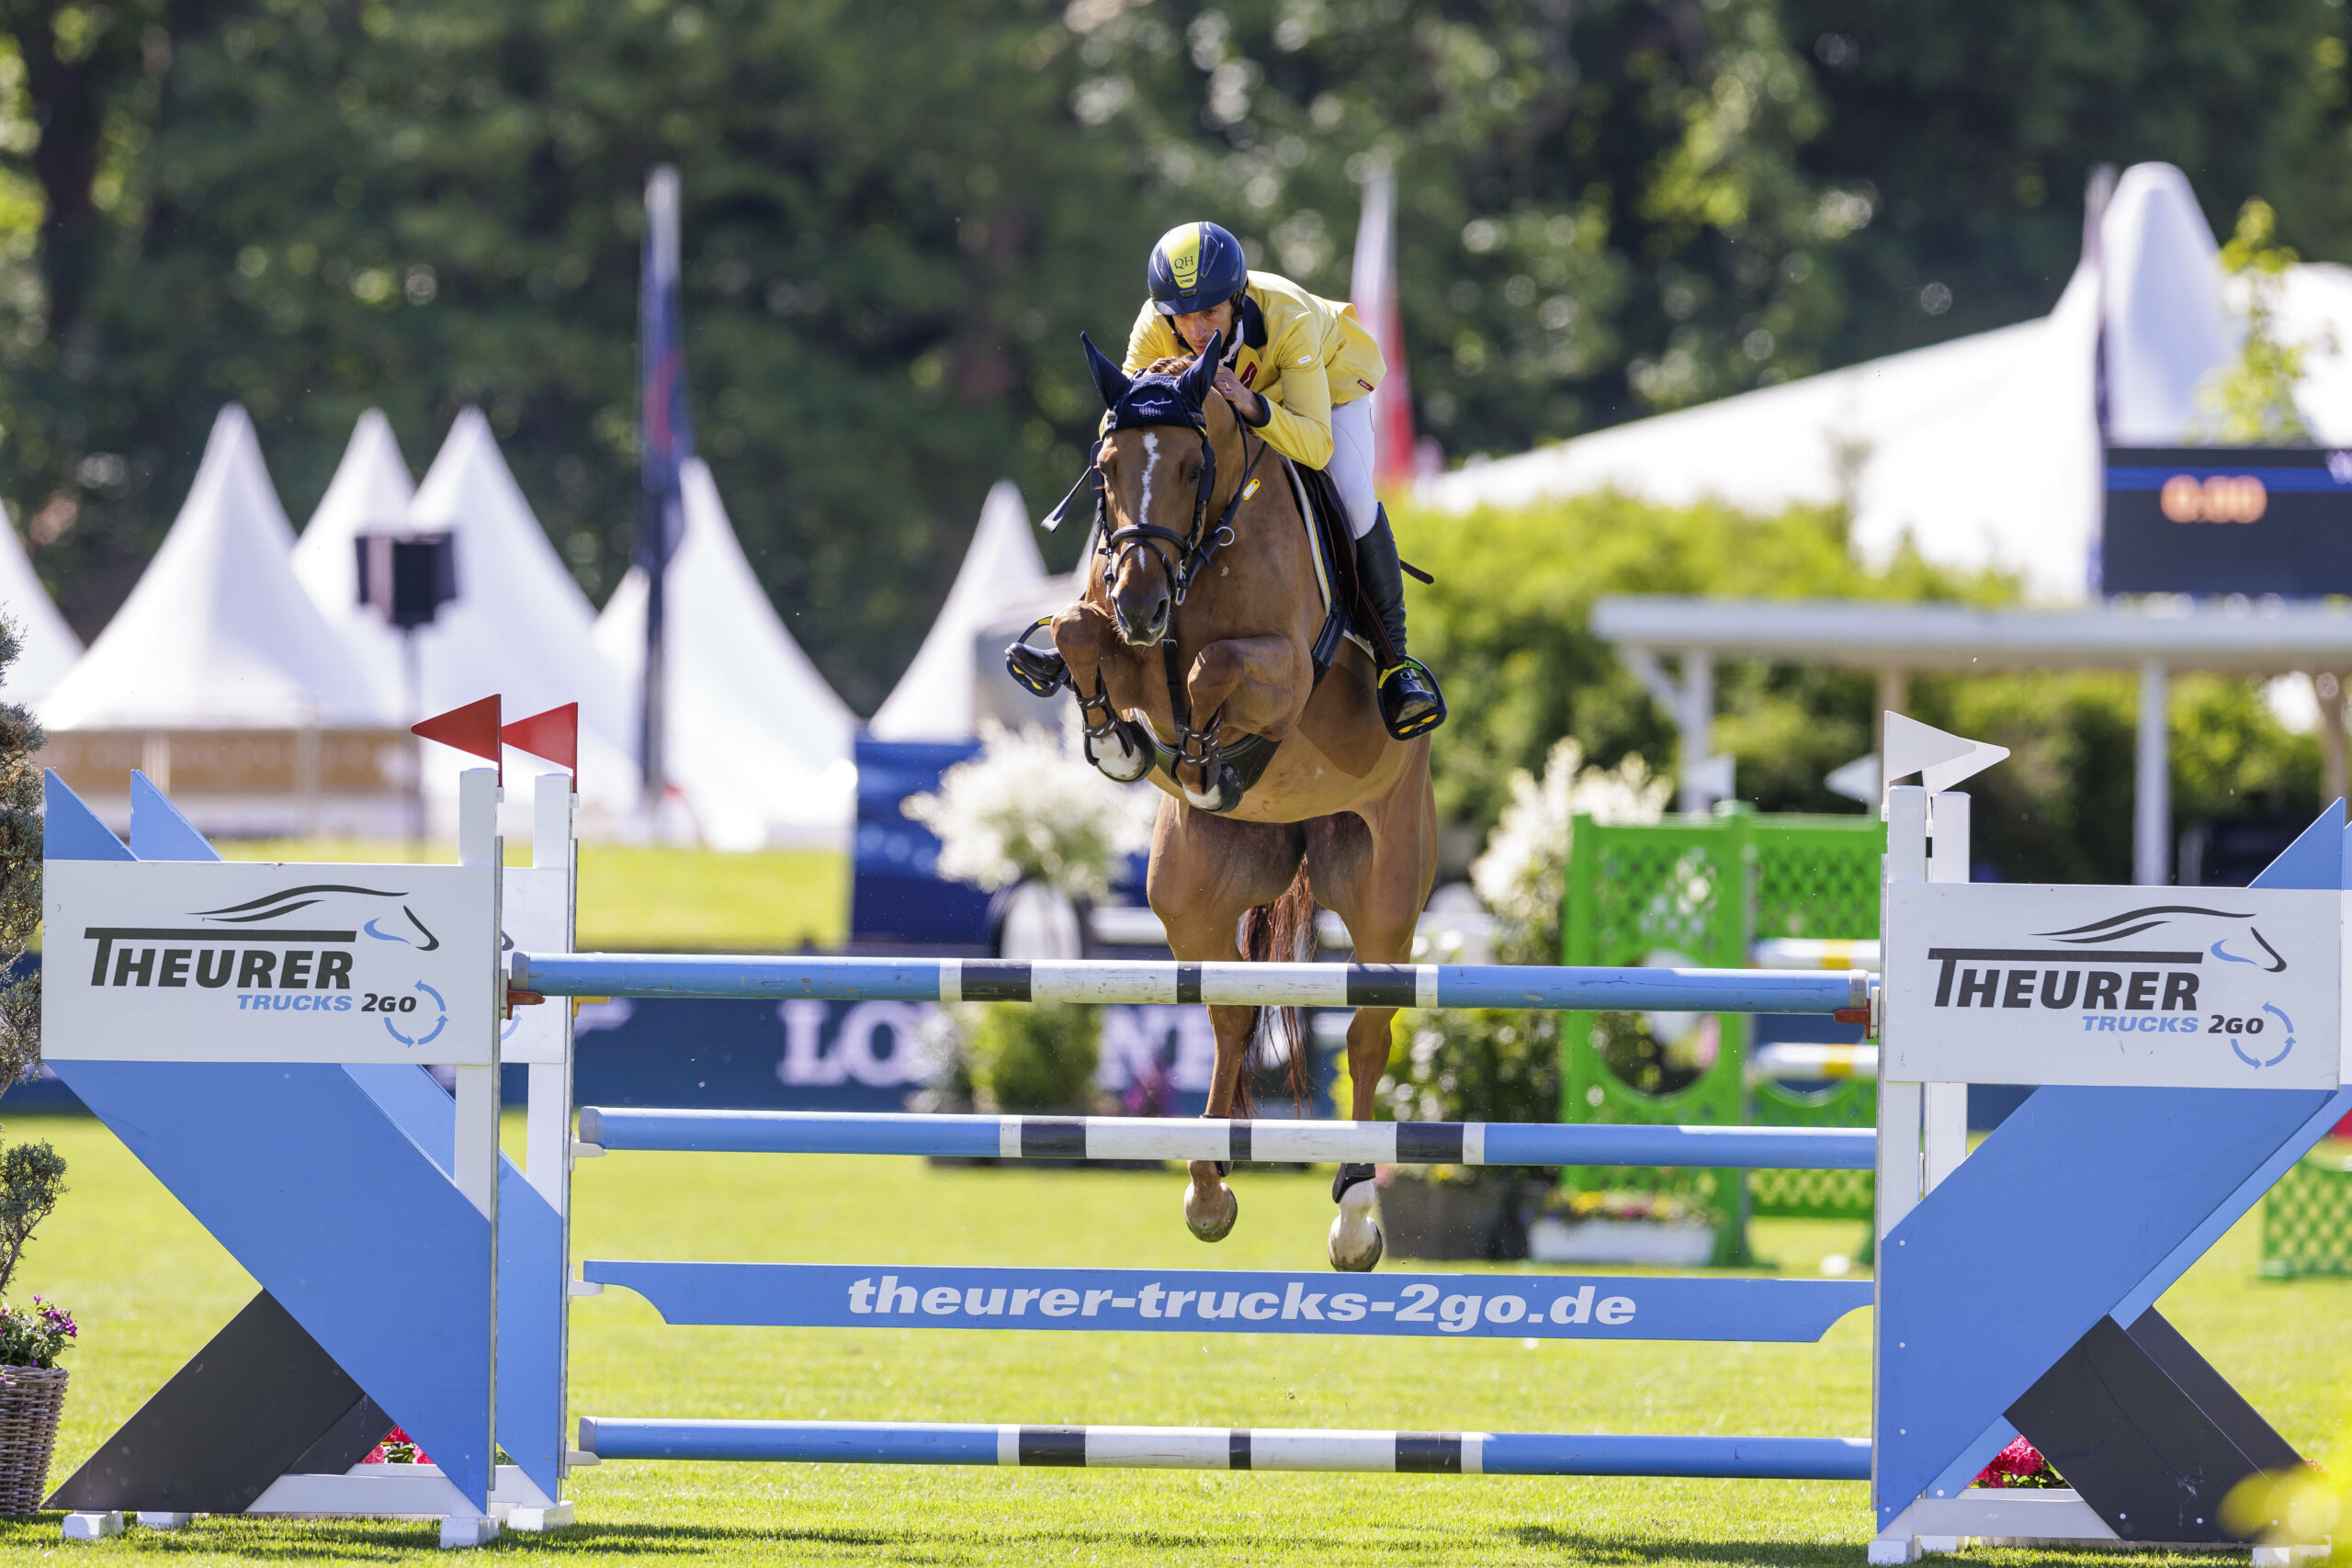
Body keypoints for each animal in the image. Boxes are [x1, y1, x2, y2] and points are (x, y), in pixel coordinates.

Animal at [1044, 333, 1430, 1279]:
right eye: (1106, 469)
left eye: (1190, 467)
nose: (1143, 604)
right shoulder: (1121, 638)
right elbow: (1080, 633)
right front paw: (1121, 740)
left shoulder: (1281, 672)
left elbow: (1211, 666)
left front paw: (1208, 748)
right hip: (1191, 890)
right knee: (1227, 1010)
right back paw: (1208, 1185)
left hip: (1384, 888)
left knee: (1367, 1036)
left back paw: (1355, 1213)